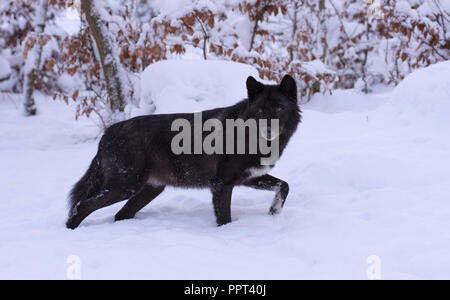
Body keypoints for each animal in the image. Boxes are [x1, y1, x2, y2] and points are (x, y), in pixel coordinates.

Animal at [65, 75, 300, 230]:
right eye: (260, 111)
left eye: (279, 108)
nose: (268, 130)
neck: (247, 135)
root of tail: (109, 132)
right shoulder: (221, 184)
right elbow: (224, 218)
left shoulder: (249, 177)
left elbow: (285, 185)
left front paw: (274, 211)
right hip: (125, 187)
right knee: (81, 206)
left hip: (148, 190)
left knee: (120, 214)